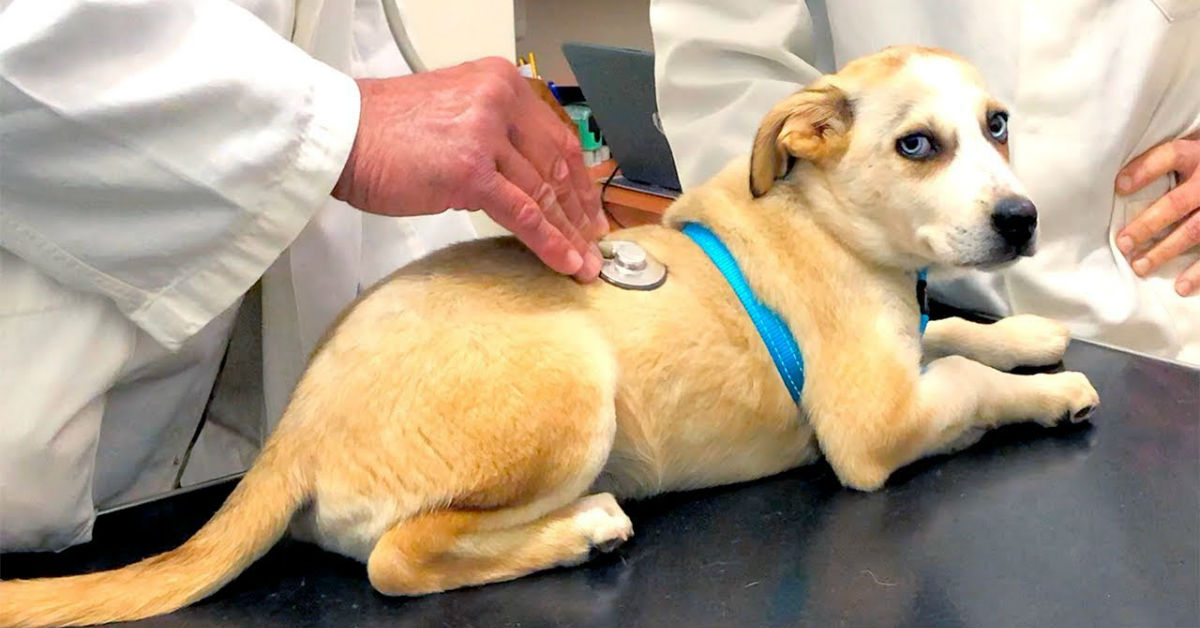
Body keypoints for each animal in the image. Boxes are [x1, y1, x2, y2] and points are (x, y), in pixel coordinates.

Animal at [0, 46, 1099, 624]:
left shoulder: (907, 347)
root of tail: (292, 433)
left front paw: (1031, 329)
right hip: (573, 390)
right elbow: (972, 382)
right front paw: (1054, 391)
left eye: (999, 124)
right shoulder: (875, 428)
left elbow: (956, 337)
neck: (833, 226)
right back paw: (579, 530)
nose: (1023, 220)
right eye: (918, 144)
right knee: (400, 558)